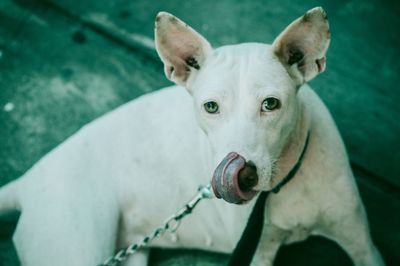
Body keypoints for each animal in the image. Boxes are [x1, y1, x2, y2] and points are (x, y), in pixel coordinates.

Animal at [0, 6, 384, 266]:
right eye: (211, 107)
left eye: (271, 104)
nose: (243, 174)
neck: (284, 184)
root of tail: (29, 180)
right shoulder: (256, 254)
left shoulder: (363, 244)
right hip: (77, 246)